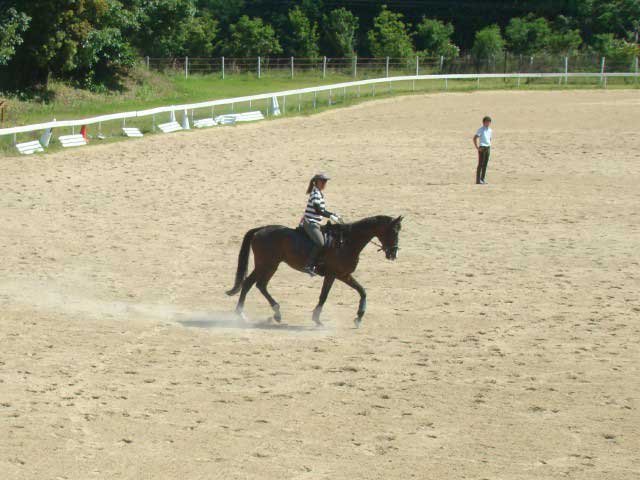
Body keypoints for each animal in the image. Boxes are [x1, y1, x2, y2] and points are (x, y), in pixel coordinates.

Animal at [228, 216, 402, 328]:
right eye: (394, 231)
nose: (393, 254)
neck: (347, 242)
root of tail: (261, 229)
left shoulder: (343, 274)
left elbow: (362, 291)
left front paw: (358, 318)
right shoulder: (333, 274)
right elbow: (324, 295)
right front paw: (317, 319)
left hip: (270, 265)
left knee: (259, 285)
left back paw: (275, 313)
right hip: (266, 264)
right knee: (250, 283)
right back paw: (242, 315)